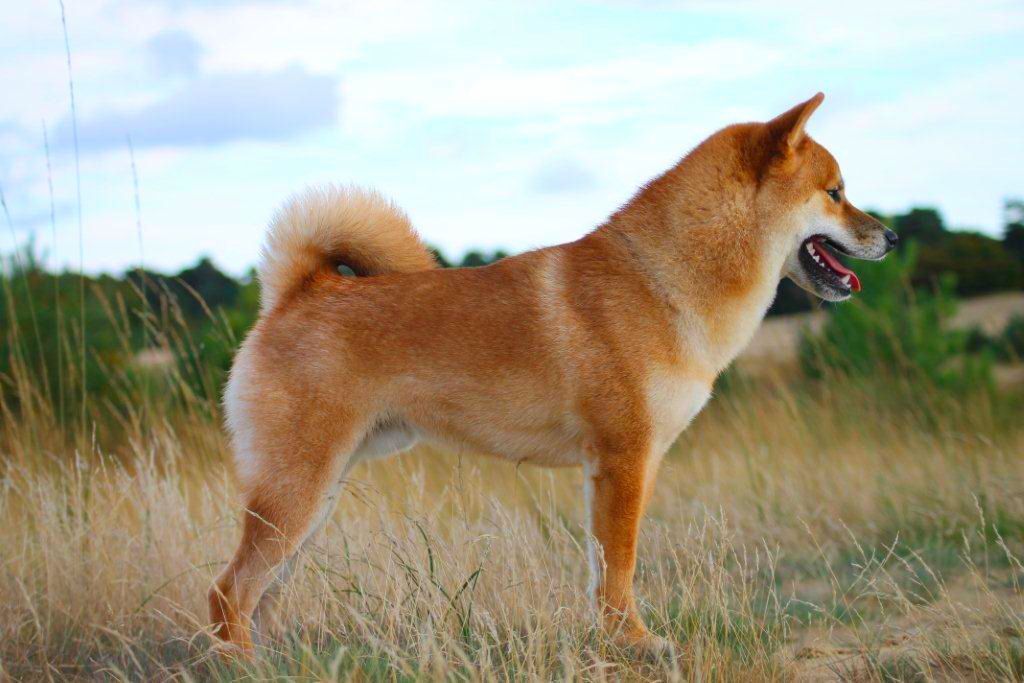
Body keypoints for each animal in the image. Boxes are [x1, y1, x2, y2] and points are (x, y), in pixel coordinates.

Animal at [209, 93, 897, 655]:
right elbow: (620, 568)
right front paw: (637, 645)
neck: (659, 280)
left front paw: (616, 640)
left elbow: (605, 570)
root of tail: (296, 294)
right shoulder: (623, 460)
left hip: (313, 497)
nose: (890, 236)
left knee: (258, 596)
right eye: (835, 192)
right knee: (228, 593)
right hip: (295, 492)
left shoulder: (622, 466)